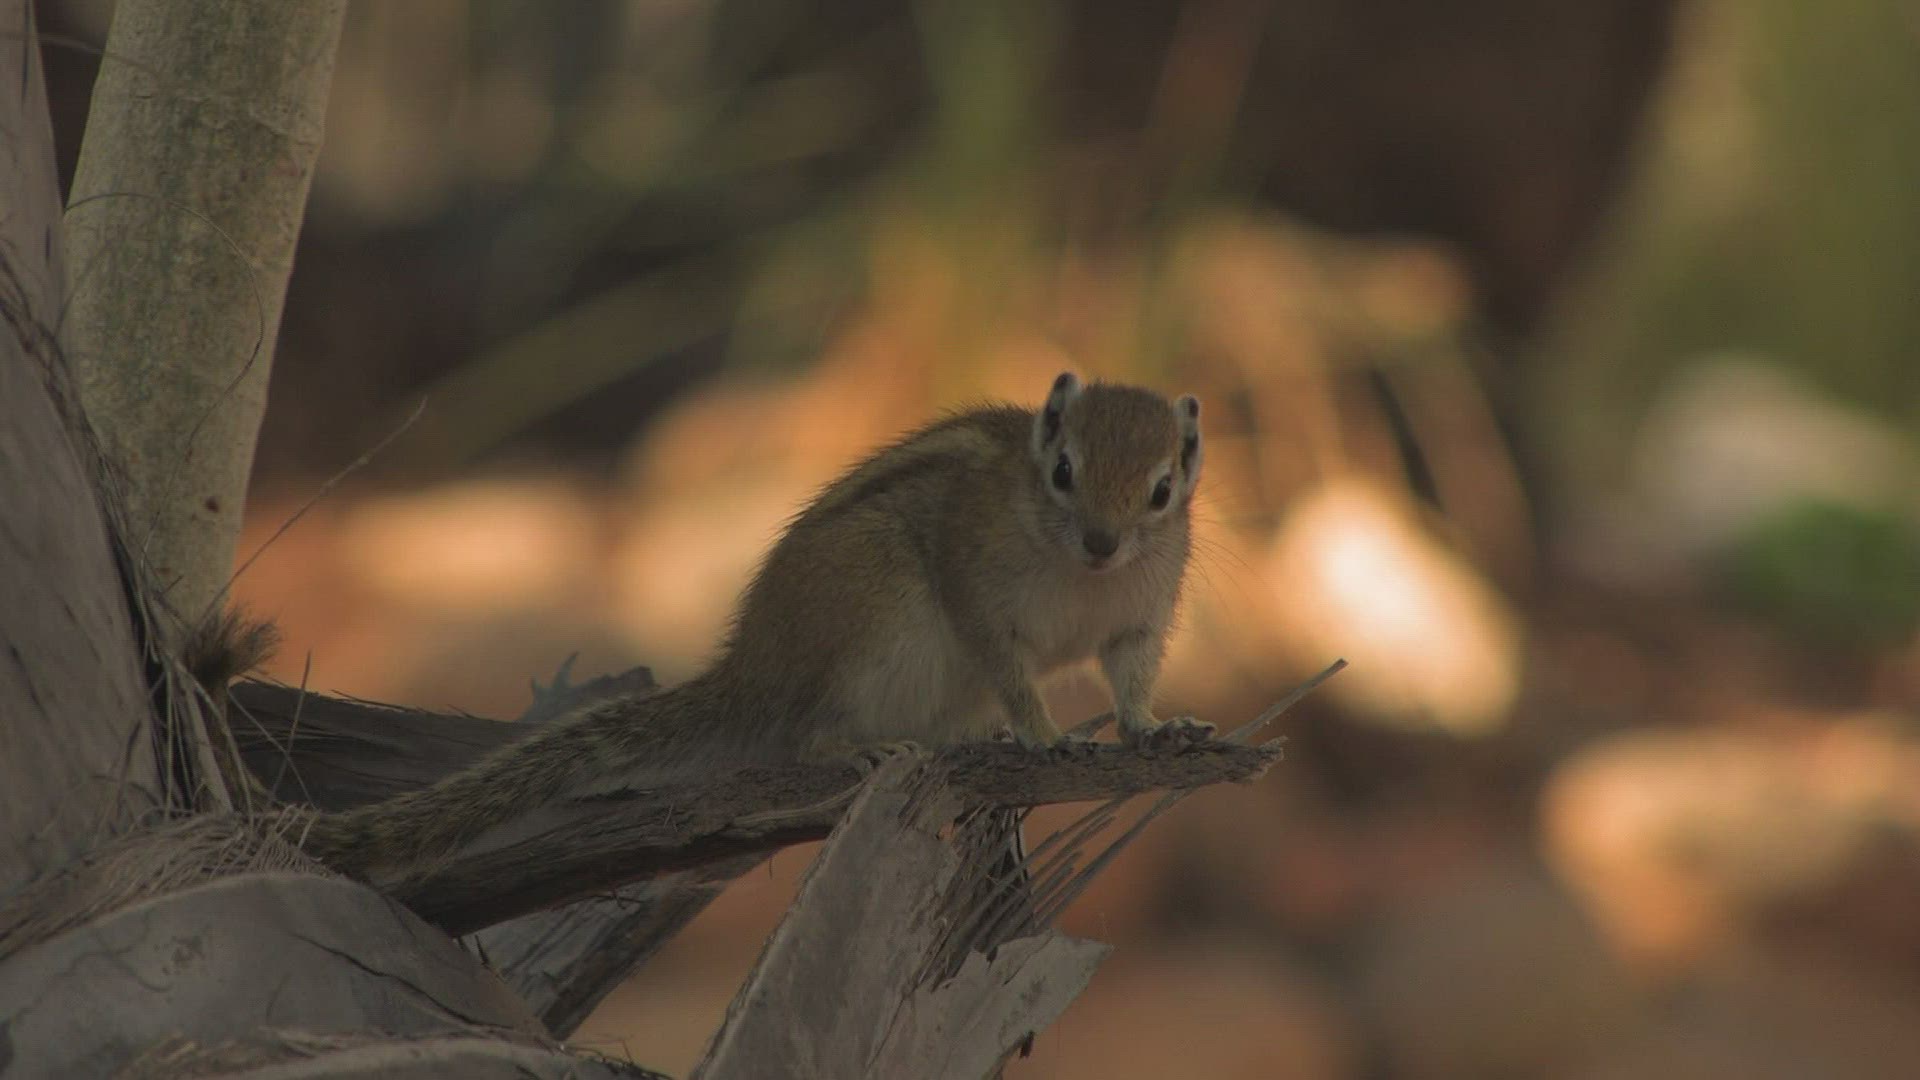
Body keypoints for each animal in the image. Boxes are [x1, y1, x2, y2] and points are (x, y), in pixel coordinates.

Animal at [301, 371, 1209, 876]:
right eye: (1063, 472)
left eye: (1162, 490)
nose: (1102, 541)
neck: (1085, 579)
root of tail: (755, 668)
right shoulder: (975, 588)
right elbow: (1010, 668)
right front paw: (1044, 733)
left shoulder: (1139, 620)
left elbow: (1130, 677)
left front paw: (1154, 725)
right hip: (870, 620)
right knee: (803, 732)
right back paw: (858, 748)